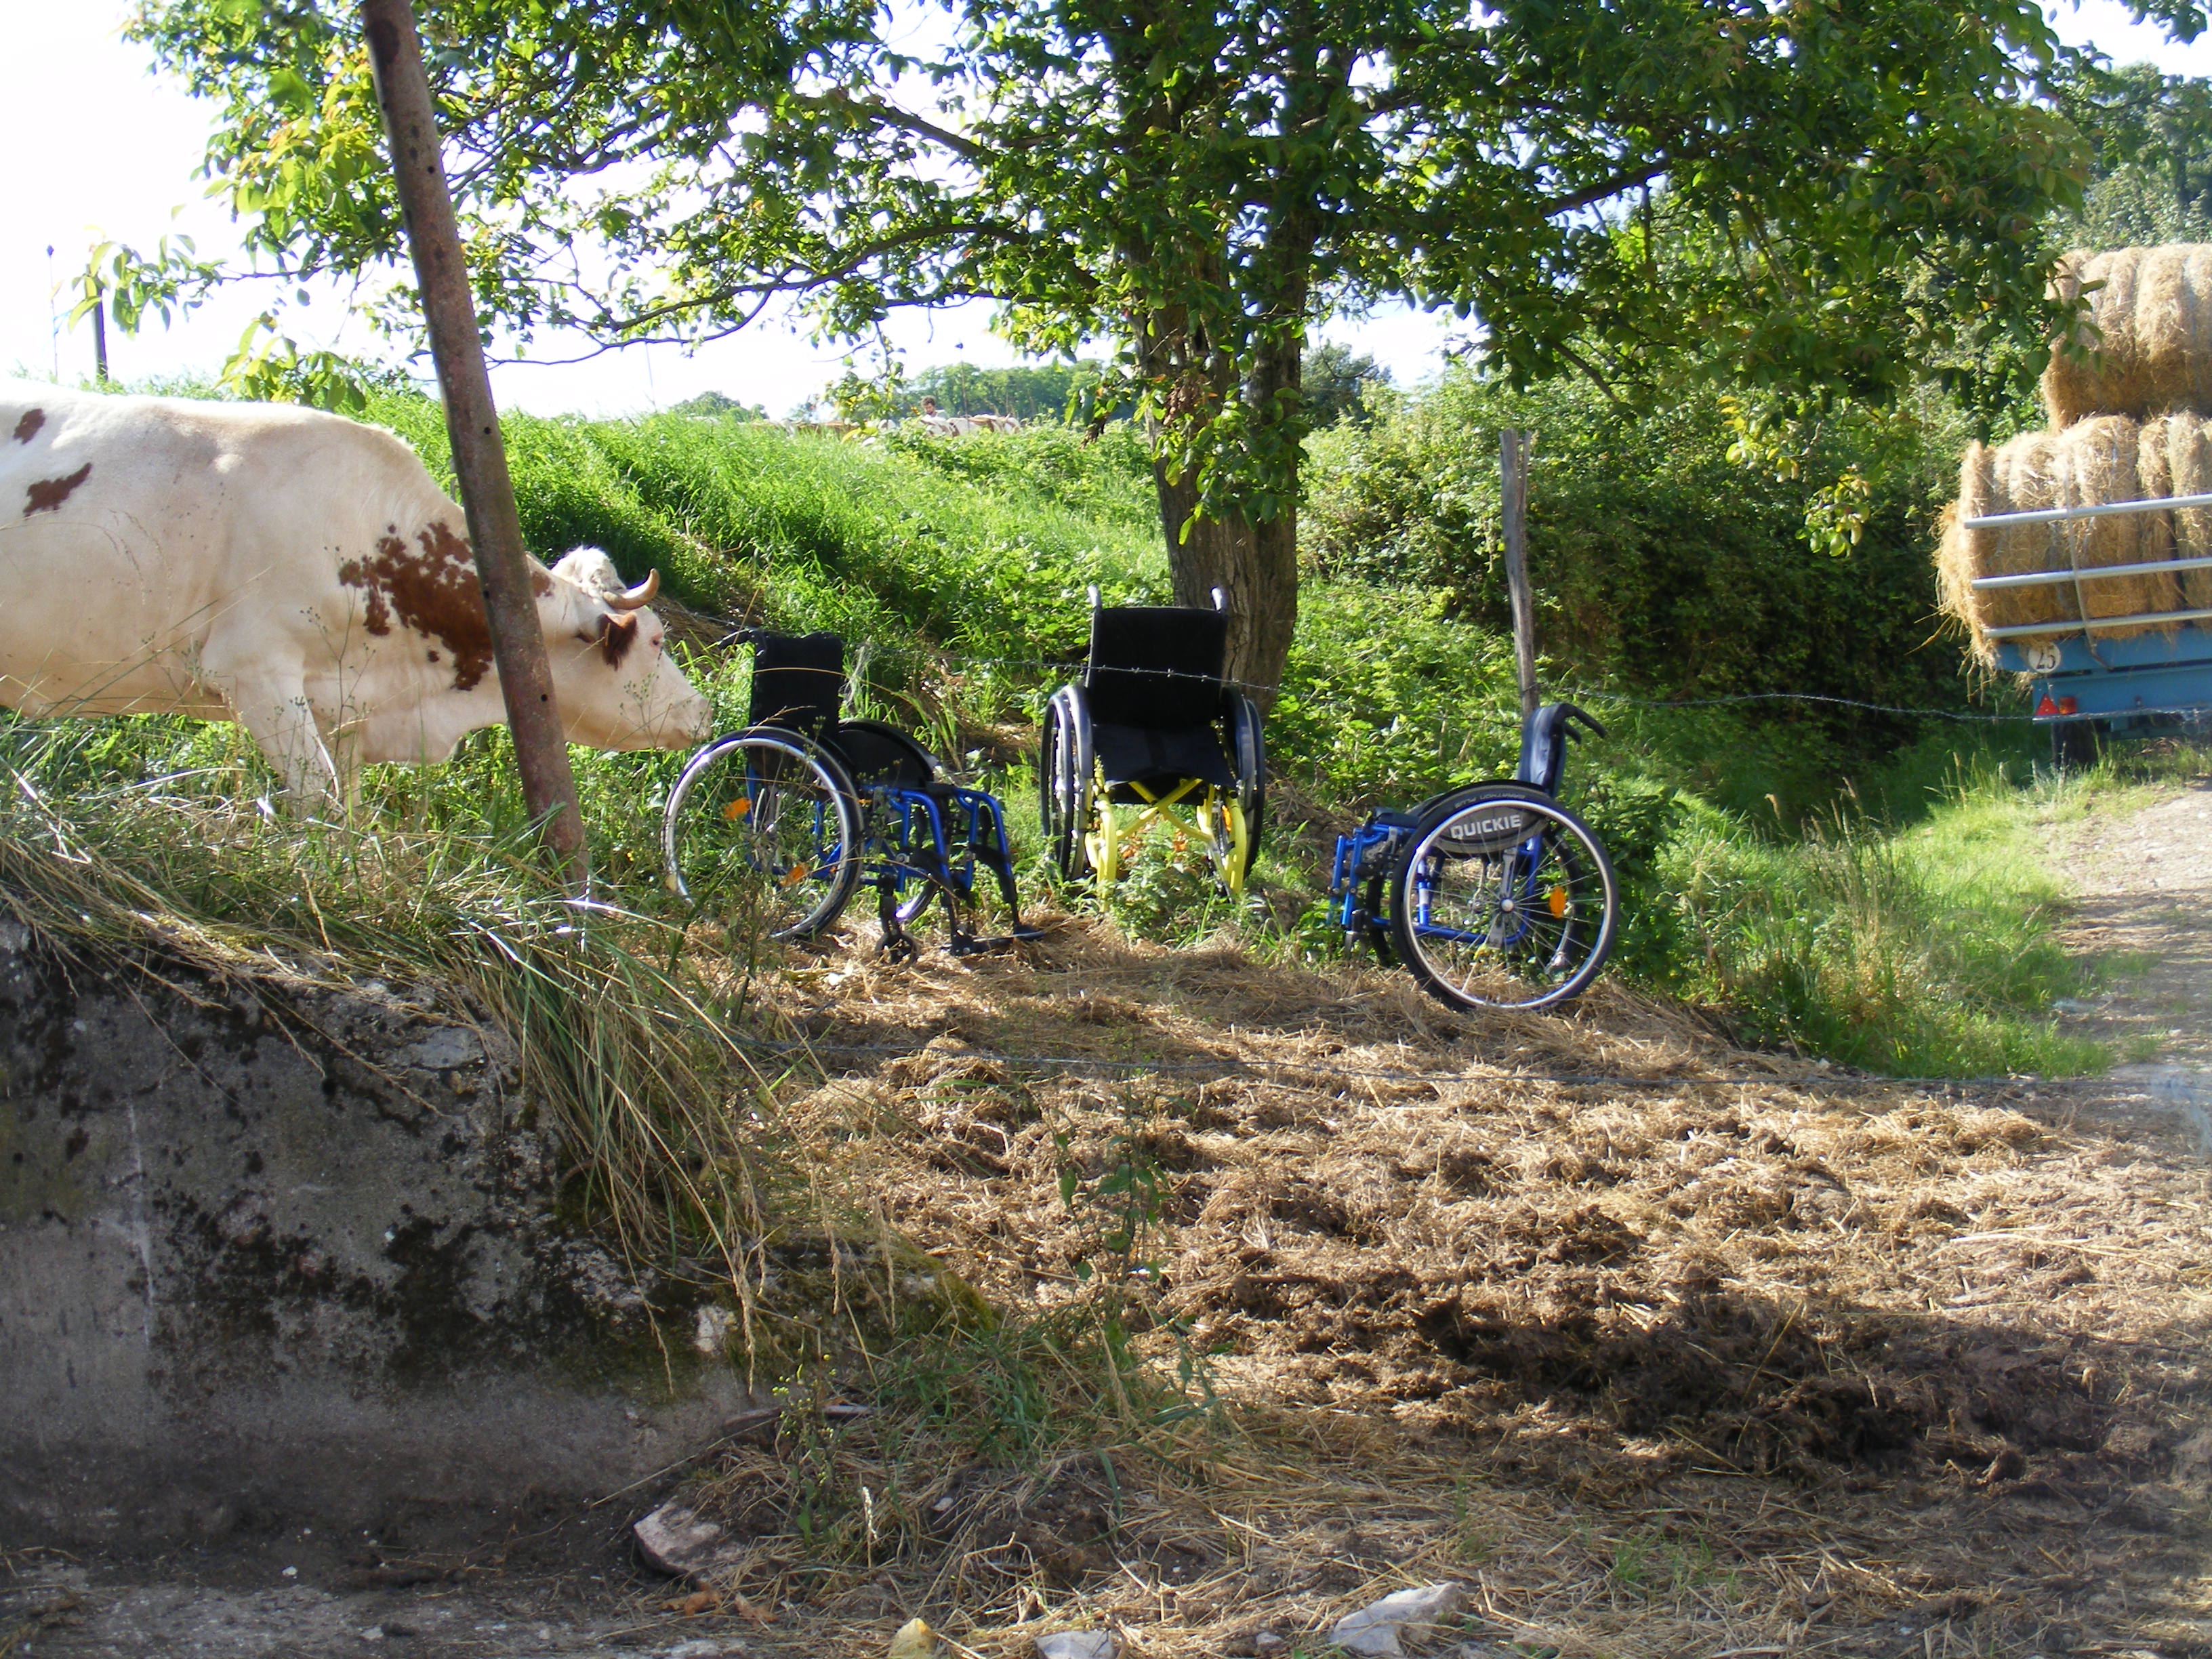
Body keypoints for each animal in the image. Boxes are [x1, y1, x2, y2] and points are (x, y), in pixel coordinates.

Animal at [0, 382, 708, 814]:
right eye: (656, 640)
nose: (702, 710)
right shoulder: (253, 672)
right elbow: (319, 799)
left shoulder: (340, 706)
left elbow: (350, 810)